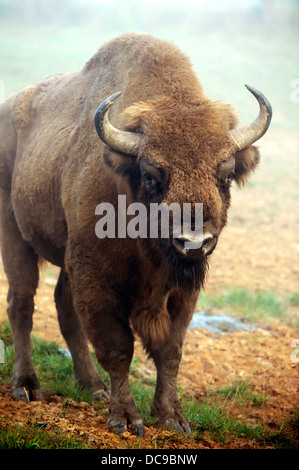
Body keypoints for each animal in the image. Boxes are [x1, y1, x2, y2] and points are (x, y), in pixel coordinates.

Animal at [0, 32, 272, 436]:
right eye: (150, 175)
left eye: (225, 175)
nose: (193, 242)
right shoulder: (96, 278)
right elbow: (118, 347)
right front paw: (127, 419)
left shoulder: (181, 291)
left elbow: (170, 350)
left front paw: (172, 417)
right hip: (14, 234)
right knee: (22, 303)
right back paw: (27, 386)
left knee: (63, 306)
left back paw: (92, 386)